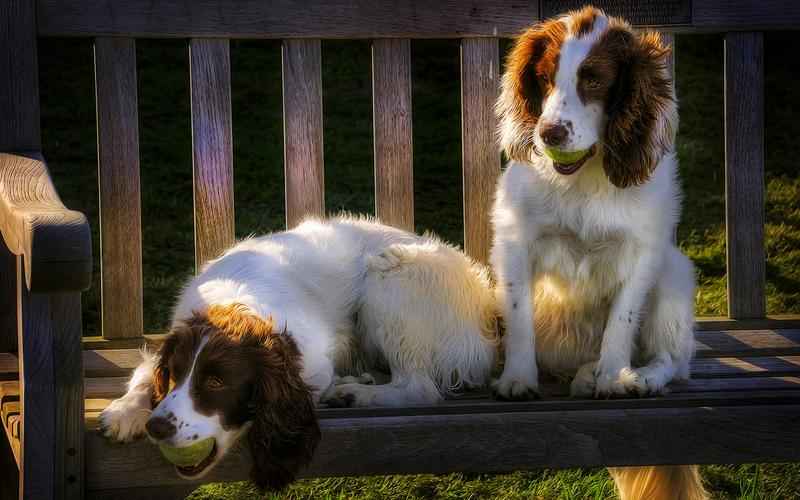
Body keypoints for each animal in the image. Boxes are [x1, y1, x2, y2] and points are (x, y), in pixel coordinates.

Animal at [97, 217, 496, 490]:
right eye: (175, 374)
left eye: (217, 382)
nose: (157, 427)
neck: (233, 302)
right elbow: (144, 375)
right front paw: (125, 411)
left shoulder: (314, 364)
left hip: (388, 276)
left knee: (419, 386)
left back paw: (355, 393)